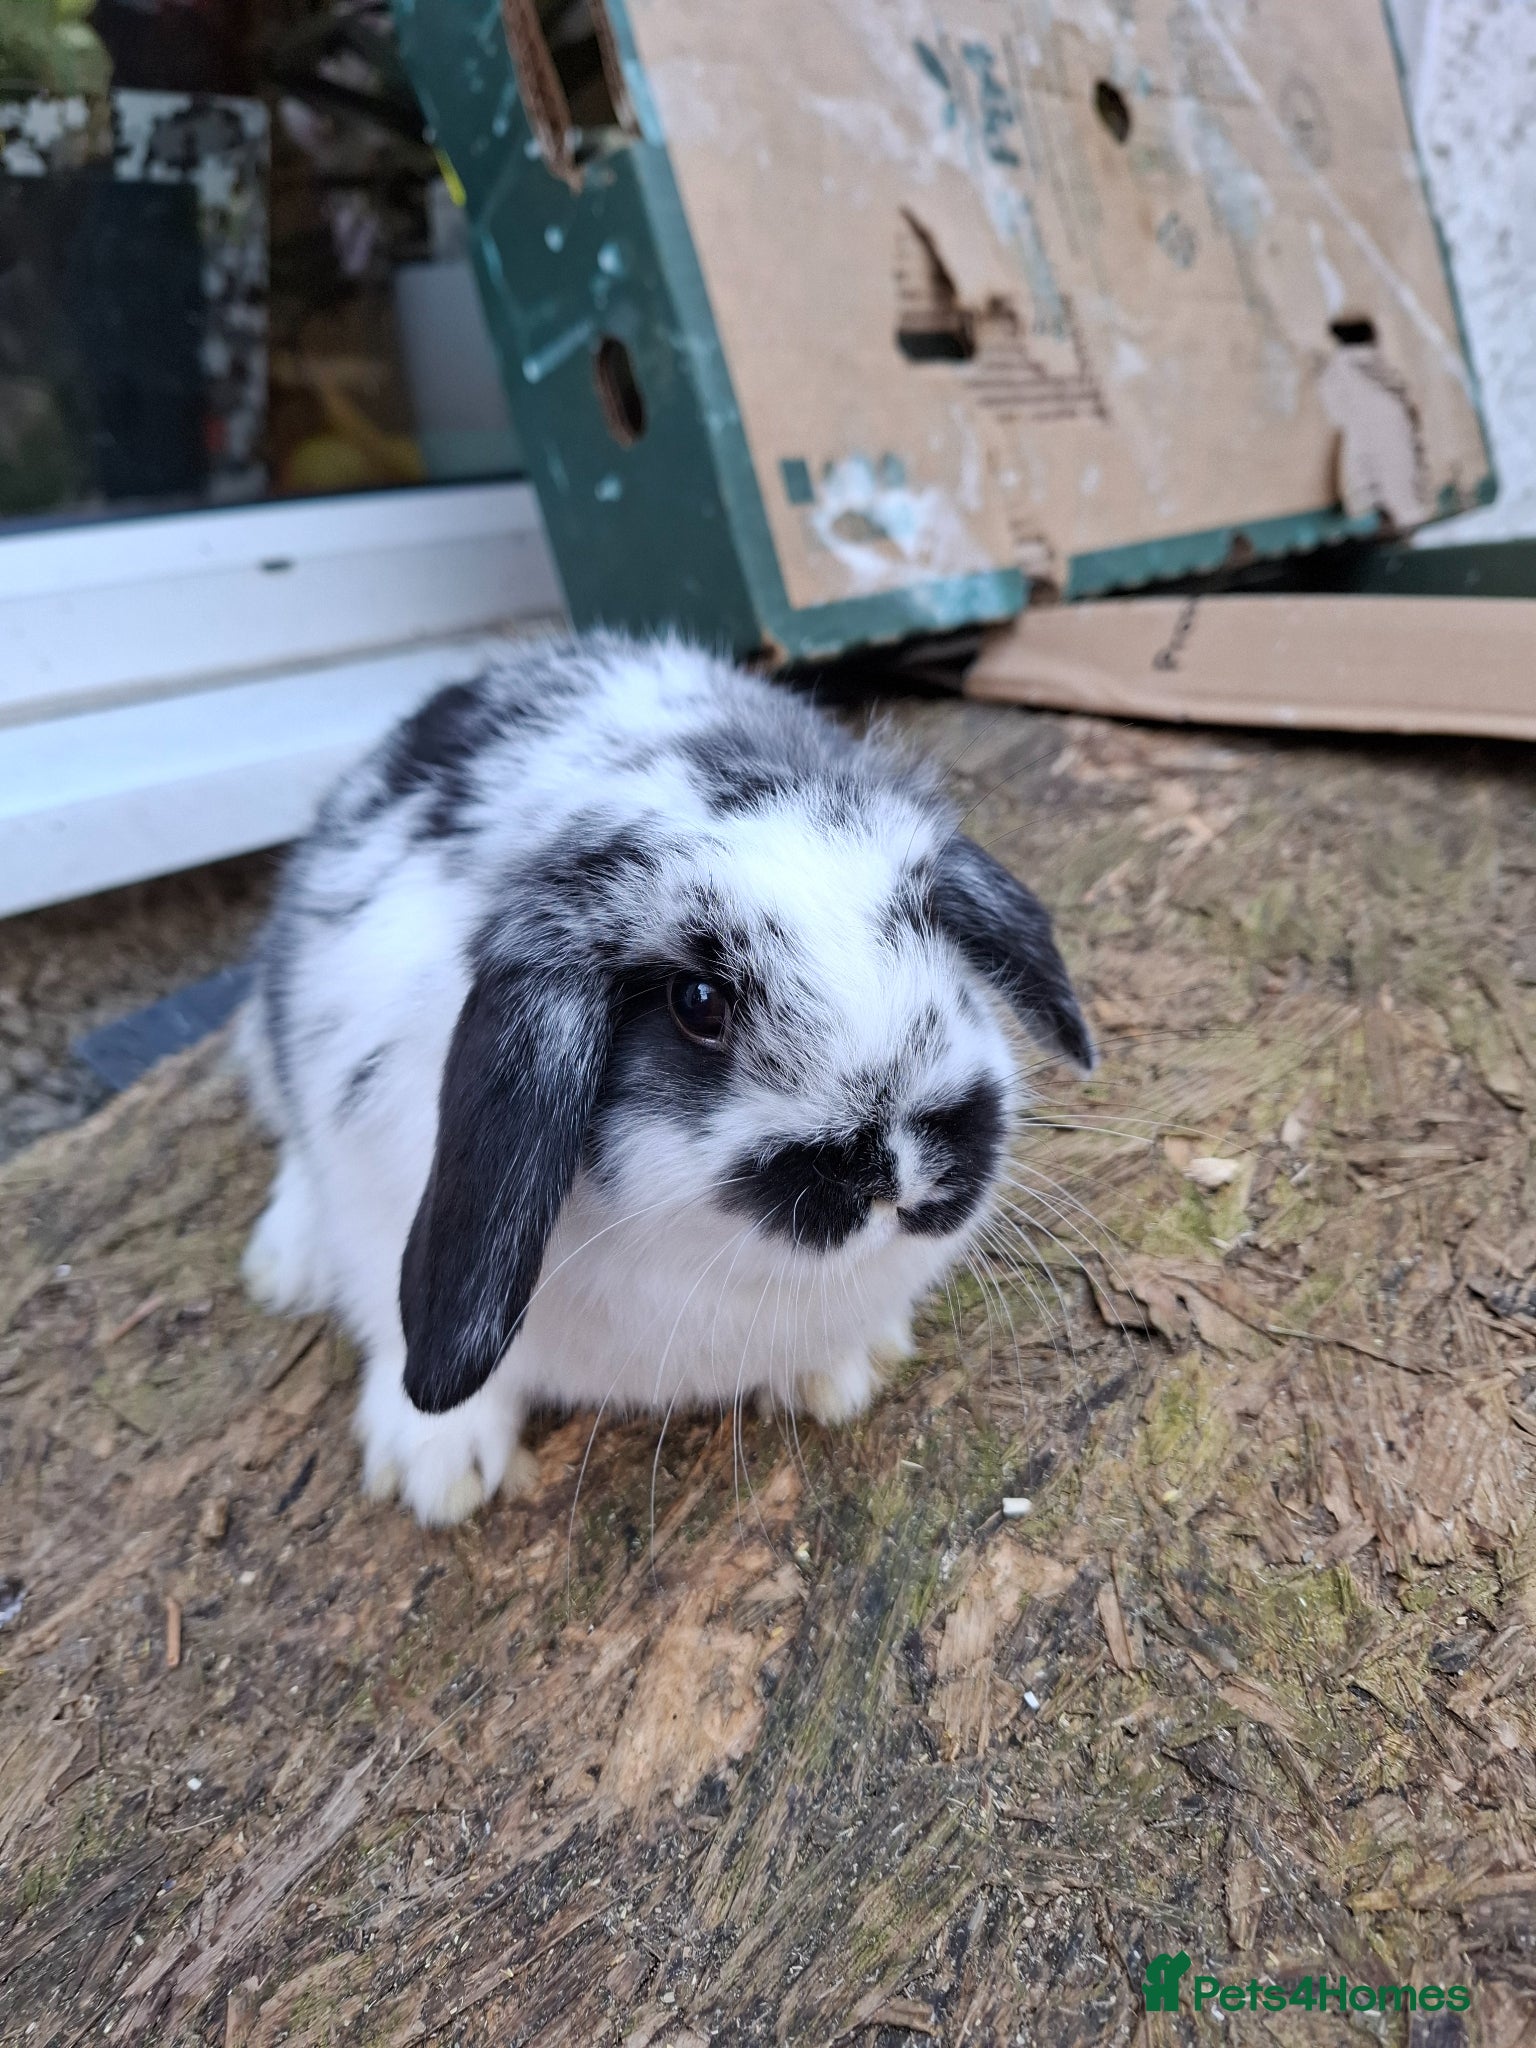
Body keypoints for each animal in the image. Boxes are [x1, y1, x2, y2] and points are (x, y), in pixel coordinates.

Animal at [238, 631, 1093, 1526]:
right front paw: (438, 1472)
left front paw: (838, 1377)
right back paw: (286, 1265)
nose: (903, 1172)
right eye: (698, 1002)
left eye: (933, 927)